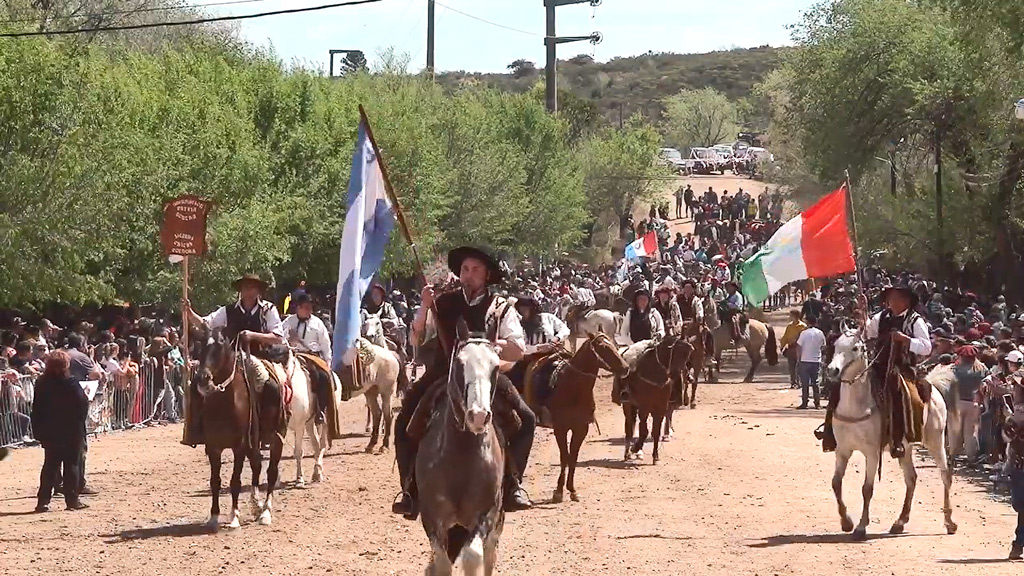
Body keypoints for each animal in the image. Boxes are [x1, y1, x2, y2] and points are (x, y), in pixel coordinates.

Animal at [192, 330, 286, 528]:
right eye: (199, 344)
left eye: (220, 346)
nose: (202, 379)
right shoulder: (213, 447)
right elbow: (215, 481)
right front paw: (214, 517)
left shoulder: (239, 447)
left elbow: (235, 481)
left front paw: (234, 517)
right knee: (257, 465)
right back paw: (256, 505)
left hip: (276, 437)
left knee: (271, 472)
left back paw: (265, 512)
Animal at [548, 332, 626, 502]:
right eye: (603, 347)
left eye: (613, 344)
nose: (626, 367)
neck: (572, 386)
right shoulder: (560, 428)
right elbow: (564, 456)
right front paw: (558, 492)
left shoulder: (581, 428)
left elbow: (573, 457)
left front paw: (572, 490)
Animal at [823, 327, 958, 537]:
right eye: (836, 345)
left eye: (855, 348)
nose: (832, 370)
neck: (856, 406)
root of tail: (933, 387)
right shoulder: (843, 450)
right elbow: (836, 483)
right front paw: (846, 522)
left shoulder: (871, 453)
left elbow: (867, 489)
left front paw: (861, 527)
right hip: (905, 448)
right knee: (911, 479)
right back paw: (900, 522)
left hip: (936, 441)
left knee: (945, 475)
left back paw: (949, 522)